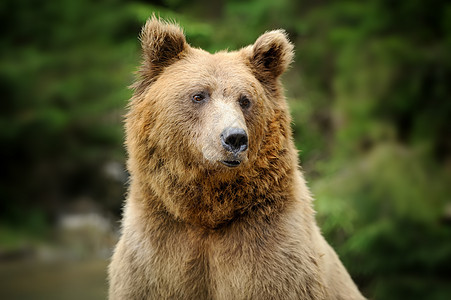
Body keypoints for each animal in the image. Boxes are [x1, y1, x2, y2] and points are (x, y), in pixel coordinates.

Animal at [109, 17, 368, 300]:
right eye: (199, 95)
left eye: (245, 100)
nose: (234, 138)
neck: (206, 213)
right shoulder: (155, 251)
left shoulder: (272, 250)